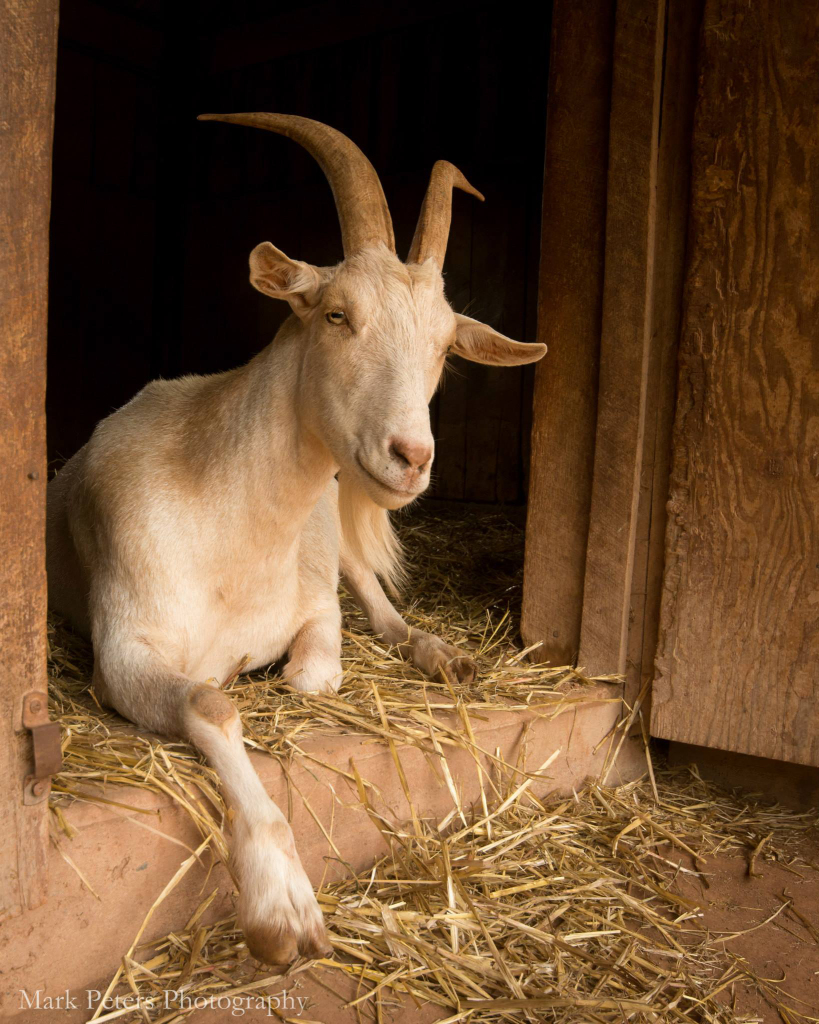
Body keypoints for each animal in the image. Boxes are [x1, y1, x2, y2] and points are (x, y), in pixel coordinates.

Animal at [44, 112, 544, 966]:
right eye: (337, 315)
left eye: (444, 347)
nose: (410, 457)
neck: (230, 532)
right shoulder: (124, 651)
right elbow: (211, 702)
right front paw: (282, 908)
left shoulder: (314, 606)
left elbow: (315, 676)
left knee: (379, 603)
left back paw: (441, 653)